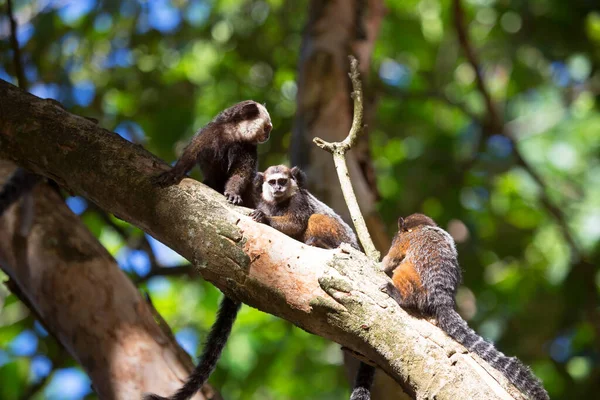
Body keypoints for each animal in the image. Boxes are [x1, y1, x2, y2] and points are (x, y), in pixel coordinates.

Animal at [146, 99, 274, 400]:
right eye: (267, 127)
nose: (268, 135)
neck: (231, 137)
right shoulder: (207, 135)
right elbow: (190, 156)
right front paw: (175, 172)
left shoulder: (247, 153)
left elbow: (240, 175)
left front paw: (233, 194)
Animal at [350, 214, 552, 400]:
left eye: (398, 233)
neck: (422, 227)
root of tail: (443, 299)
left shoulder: (402, 242)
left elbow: (392, 259)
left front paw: (379, 264)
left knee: (403, 271)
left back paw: (398, 294)